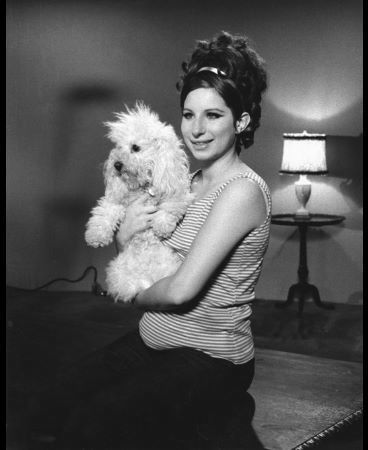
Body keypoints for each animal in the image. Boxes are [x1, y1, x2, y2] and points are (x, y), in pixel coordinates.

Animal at [83, 103, 193, 302]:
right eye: (118, 147)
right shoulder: (116, 202)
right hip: (119, 272)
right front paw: (96, 236)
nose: (116, 164)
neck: (142, 186)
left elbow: (170, 206)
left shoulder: (179, 192)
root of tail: (145, 280)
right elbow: (104, 213)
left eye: (135, 147)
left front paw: (162, 225)